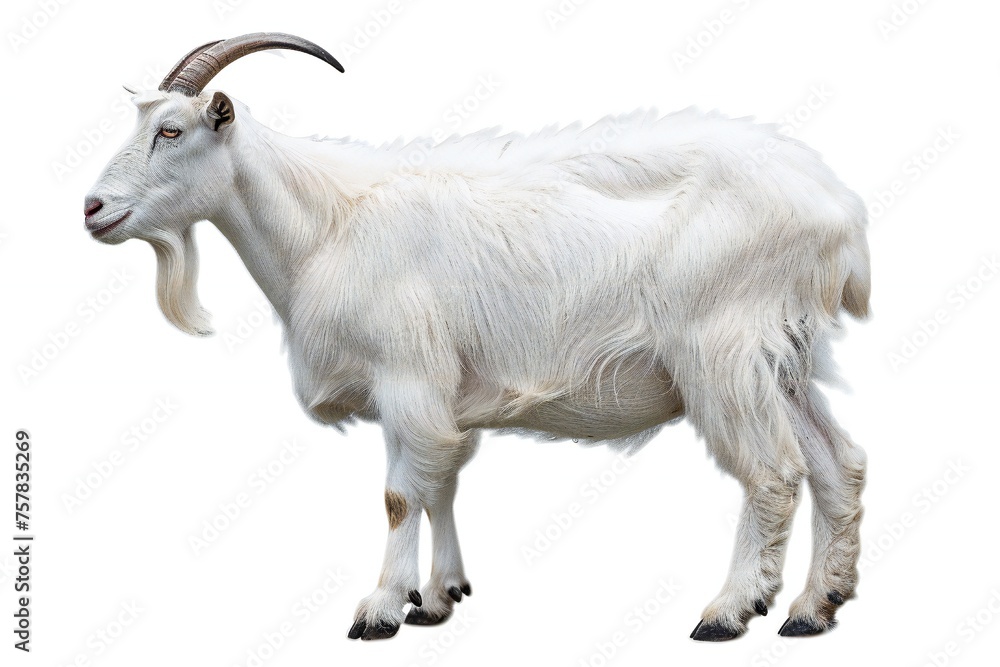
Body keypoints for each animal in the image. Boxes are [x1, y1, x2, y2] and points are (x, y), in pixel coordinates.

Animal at [85, 33, 871, 642]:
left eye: (171, 131)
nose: (92, 208)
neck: (328, 223)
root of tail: (838, 209)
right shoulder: (441, 395)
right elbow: (440, 484)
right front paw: (438, 597)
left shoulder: (407, 374)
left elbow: (401, 494)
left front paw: (380, 608)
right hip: (784, 358)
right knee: (839, 462)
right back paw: (815, 606)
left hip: (722, 351)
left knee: (773, 472)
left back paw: (731, 609)